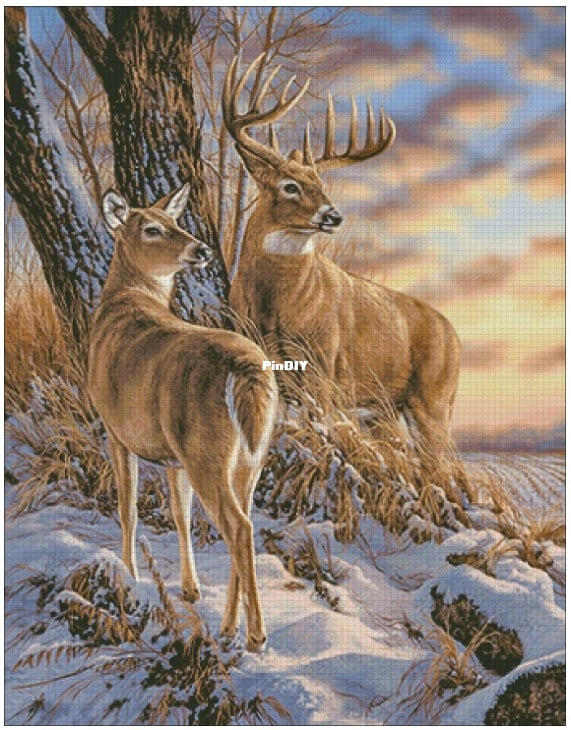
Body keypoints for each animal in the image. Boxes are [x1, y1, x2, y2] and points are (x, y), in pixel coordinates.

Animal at [88, 183, 278, 652]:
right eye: (153, 228)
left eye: (175, 221)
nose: (203, 249)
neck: (124, 301)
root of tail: (247, 371)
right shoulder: (172, 457)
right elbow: (180, 514)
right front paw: (190, 589)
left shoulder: (114, 428)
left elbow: (128, 508)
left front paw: (131, 576)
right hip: (250, 454)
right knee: (244, 520)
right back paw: (228, 628)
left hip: (206, 451)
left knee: (238, 526)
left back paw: (256, 636)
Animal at [222, 56, 461, 459]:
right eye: (290, 186)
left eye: (322, 185)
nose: (334, 216)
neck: (275, 304)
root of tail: (457, 338)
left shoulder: (323, 361)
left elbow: (319, 430)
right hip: (384, 409)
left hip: (433, 399)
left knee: (448, 464)